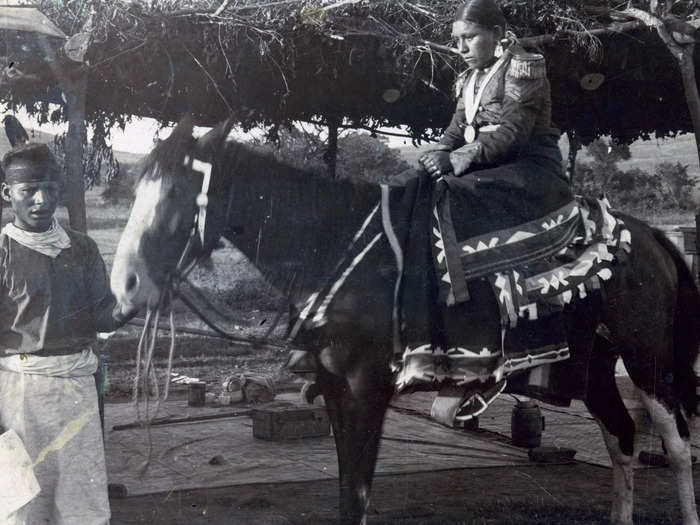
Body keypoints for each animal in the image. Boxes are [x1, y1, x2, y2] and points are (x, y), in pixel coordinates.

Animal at [109, 116, 700, 520]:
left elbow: (358, 493)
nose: (125, 285)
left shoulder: (367, 388)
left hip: (648, 358)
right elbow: (347, 490)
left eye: (177, 194)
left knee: (673, 446)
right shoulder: (334, 388)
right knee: (622, 438)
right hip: (595, 364)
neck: (335, 244)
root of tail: (651, 236)